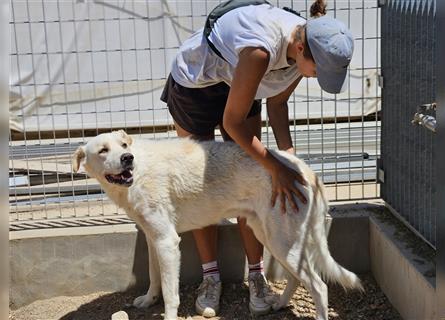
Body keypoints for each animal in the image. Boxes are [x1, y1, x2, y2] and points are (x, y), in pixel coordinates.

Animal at [73, 131, 362, 320]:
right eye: (103, 150)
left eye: (123, 145)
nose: (127, 158)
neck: (139, 173)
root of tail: (306, 170)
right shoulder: (152, 238)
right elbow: (155, 278)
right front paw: (148, 300)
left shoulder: (167, 242)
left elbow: (171, 294)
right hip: (271, 235)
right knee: (297, 277)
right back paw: (279, 304)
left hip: (280, 240)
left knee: (319, 286)